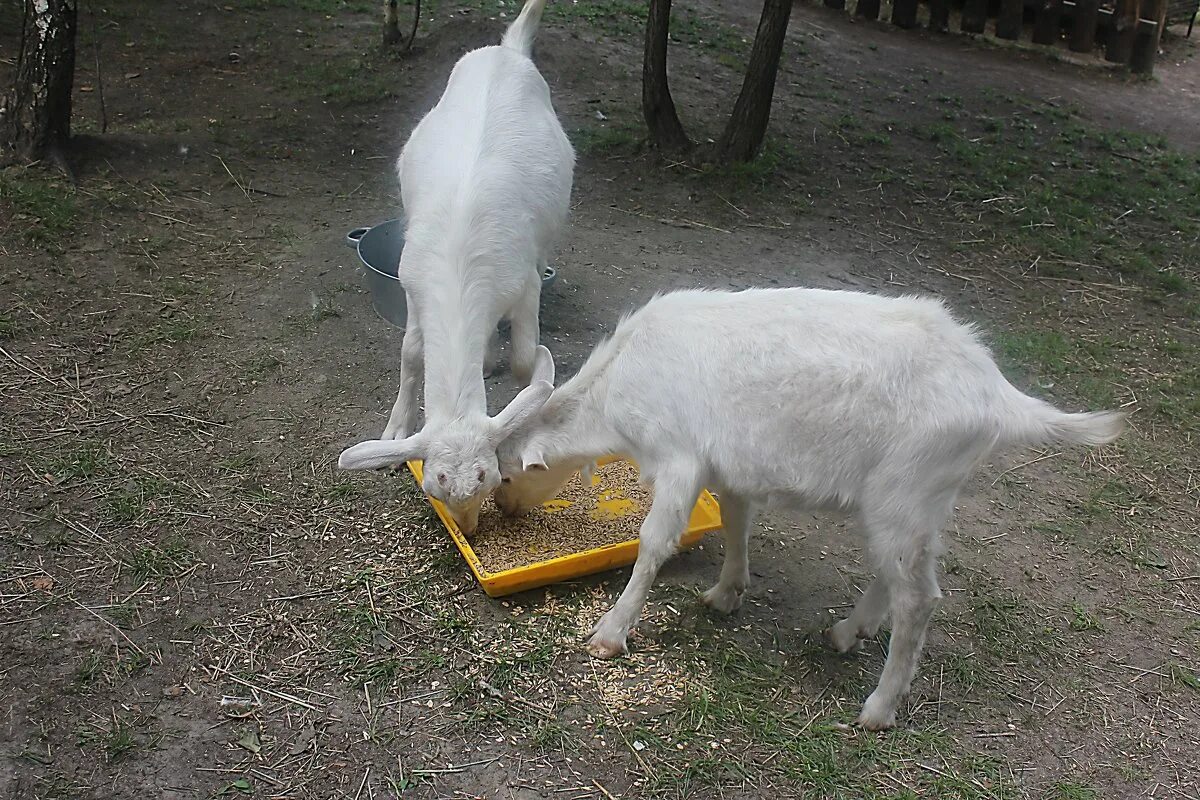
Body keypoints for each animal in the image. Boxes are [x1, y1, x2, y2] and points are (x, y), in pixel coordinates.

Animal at [338, 0, 576, 534]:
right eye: (434, 484)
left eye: (490, 478)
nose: (466, 529)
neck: (459, 271)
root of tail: (507, 49)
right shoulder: (412, 285)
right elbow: (410, 353)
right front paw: (395, 428)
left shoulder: (524, 286)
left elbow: (526, 358)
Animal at [487, 287, 1123, 734]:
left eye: (510, 472)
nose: (503, 511)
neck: (620, 385)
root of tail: (998, 395)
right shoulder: (728, 466)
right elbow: (738, 521)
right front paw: (726, 593)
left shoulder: (680, 458)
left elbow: (653, 543)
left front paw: (609, 634)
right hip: (914, 502)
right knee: (901, 573)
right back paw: (848, 631)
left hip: (906, 489)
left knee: (919, 598)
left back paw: (878, 709)